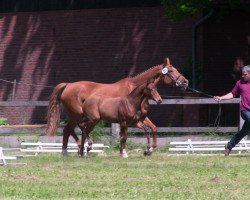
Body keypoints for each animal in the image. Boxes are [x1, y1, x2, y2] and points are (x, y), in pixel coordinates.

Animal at [46, 57, 188, 155]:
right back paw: (79, 148)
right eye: (171, 71)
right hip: (78, 115)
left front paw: (149, 149)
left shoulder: (140, 118)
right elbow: (123, 136)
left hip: (78, 116)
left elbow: (153, 128)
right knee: (71, 129)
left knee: (69, 129)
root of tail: (68, 85)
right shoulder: (128, 120)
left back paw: (77, 149)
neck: (136, 89)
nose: (185, 82)